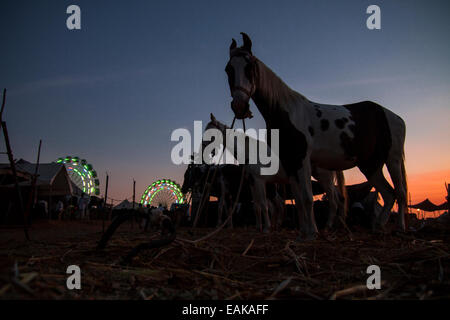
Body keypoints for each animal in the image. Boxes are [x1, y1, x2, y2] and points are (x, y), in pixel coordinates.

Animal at [225, 33, 408, 240]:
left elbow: (306, 197)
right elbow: (298, 198)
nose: (239, 107)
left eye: (249, 66)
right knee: (388, 194)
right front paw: (304, 232)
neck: (287, 113)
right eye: (228, 69)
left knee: (400, 193)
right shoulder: (291, 163)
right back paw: (378, 225)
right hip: (370, 165)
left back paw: (399, 227)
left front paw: (312, 233)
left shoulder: (302, 160)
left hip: (392, 159)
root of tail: (393, 116)